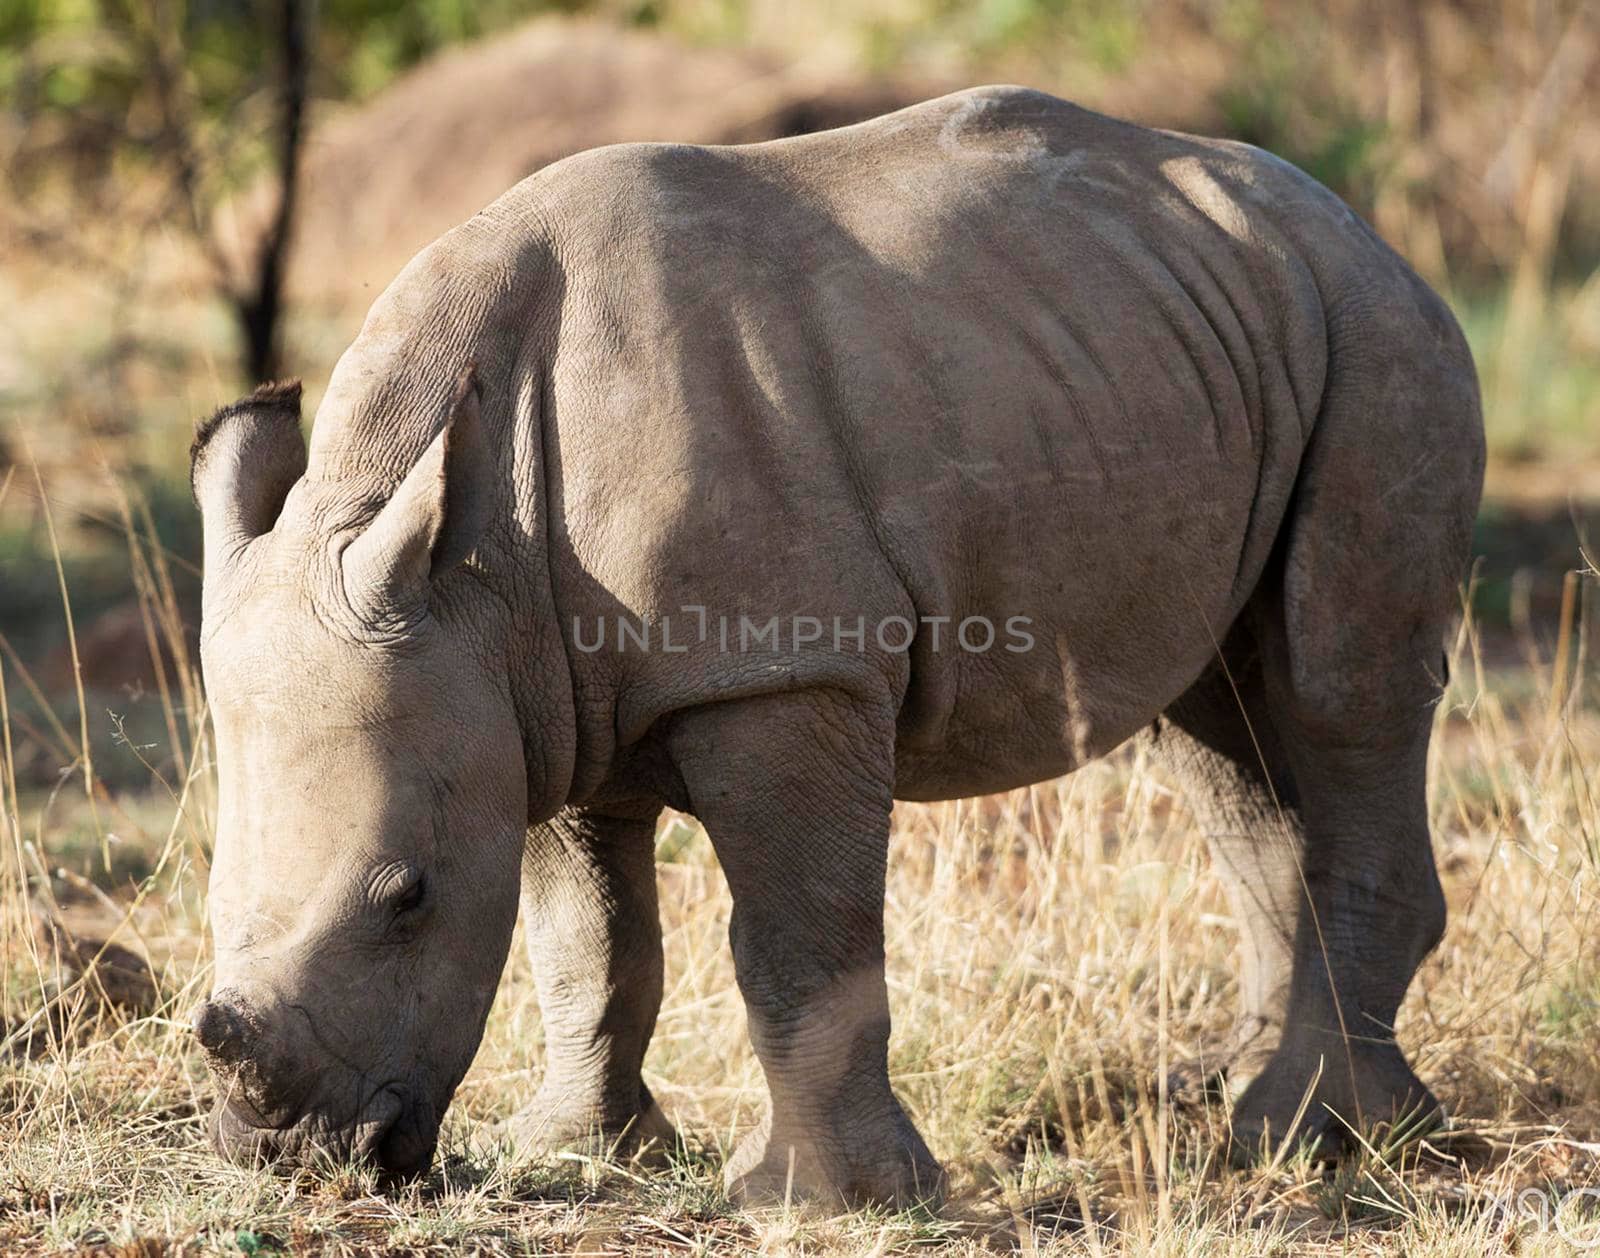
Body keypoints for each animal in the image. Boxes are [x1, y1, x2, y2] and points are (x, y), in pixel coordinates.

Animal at [190, 83, 1484, 1203]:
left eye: (406, 897)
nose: (290, 1157)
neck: (465, 554)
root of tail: (1356, 221)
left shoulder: (779, 671)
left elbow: (795, 939)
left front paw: (824, 1198)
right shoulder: (524, 689)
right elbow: (589, 944)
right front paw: (574, 1153)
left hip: (1379, 340)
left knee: (1339, 690)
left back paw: (1310, 1135)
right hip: (1186, 338)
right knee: (1219, 722)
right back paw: (1233, 1094)